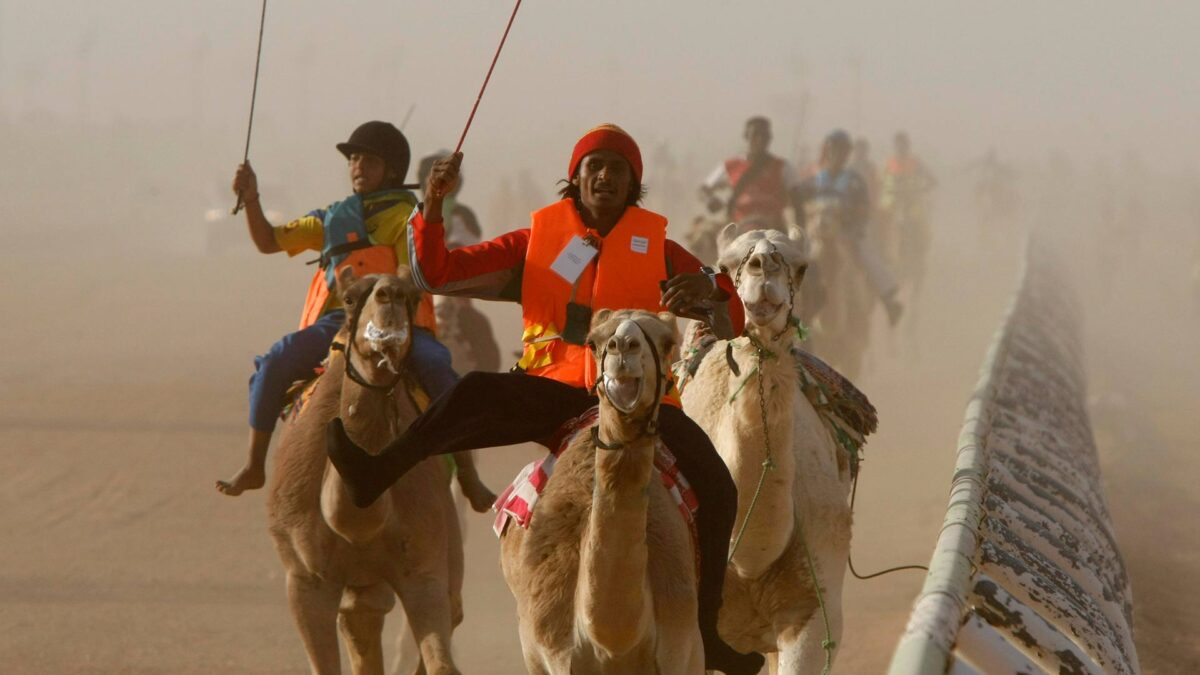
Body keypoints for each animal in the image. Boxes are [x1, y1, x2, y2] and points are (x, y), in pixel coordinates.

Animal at [267, 267, 463, 672]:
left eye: (413, 297)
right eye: (350, 298)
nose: (389, 296)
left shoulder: (425, 565)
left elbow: (441, 661)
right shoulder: (305, 579)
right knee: (360, 615)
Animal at [496, 309, 700, 672]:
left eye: (667, 342)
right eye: (594, 342)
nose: (623, 347)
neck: (612, 641)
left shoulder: (681, 645)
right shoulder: (554, 654)